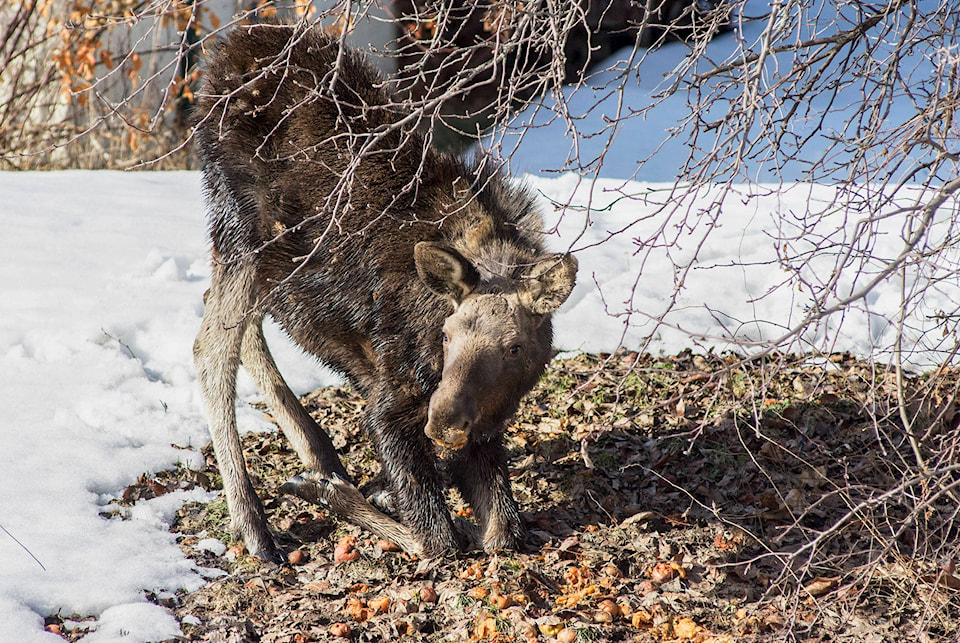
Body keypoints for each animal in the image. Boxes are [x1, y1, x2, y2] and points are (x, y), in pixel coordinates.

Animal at [191, 22, 572, 560]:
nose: (444, 422)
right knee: (211, 347)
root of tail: (225, 49)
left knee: (232, 322)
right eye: (448, 336)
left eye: (515, 347)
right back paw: (257, 527)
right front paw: (334, 493)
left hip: (258, 263)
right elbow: (440, 539)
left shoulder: (483, 429)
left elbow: (502, 532)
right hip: (240, 233)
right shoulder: (389, 407)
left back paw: (319, 456)